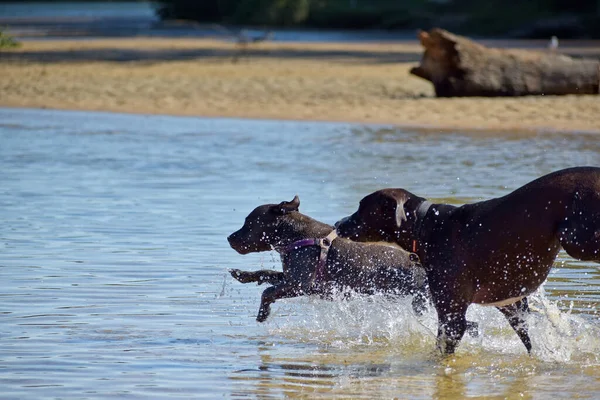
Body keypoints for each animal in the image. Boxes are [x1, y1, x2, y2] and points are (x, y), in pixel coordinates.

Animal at [226, 195, 432, 324]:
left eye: (248, 222)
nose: (229, 238)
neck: (294, 236)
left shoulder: (299, 284)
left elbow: (267, 292)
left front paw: (263, 313)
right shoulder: (290, 277)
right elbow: (266, 274)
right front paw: (243, 275)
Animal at [336, 167, 600, 354]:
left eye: (362, 207)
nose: (338, 223)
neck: (425, 226)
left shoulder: (452, 317)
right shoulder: (512, 305)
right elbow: (531, 343)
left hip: (576, 239)